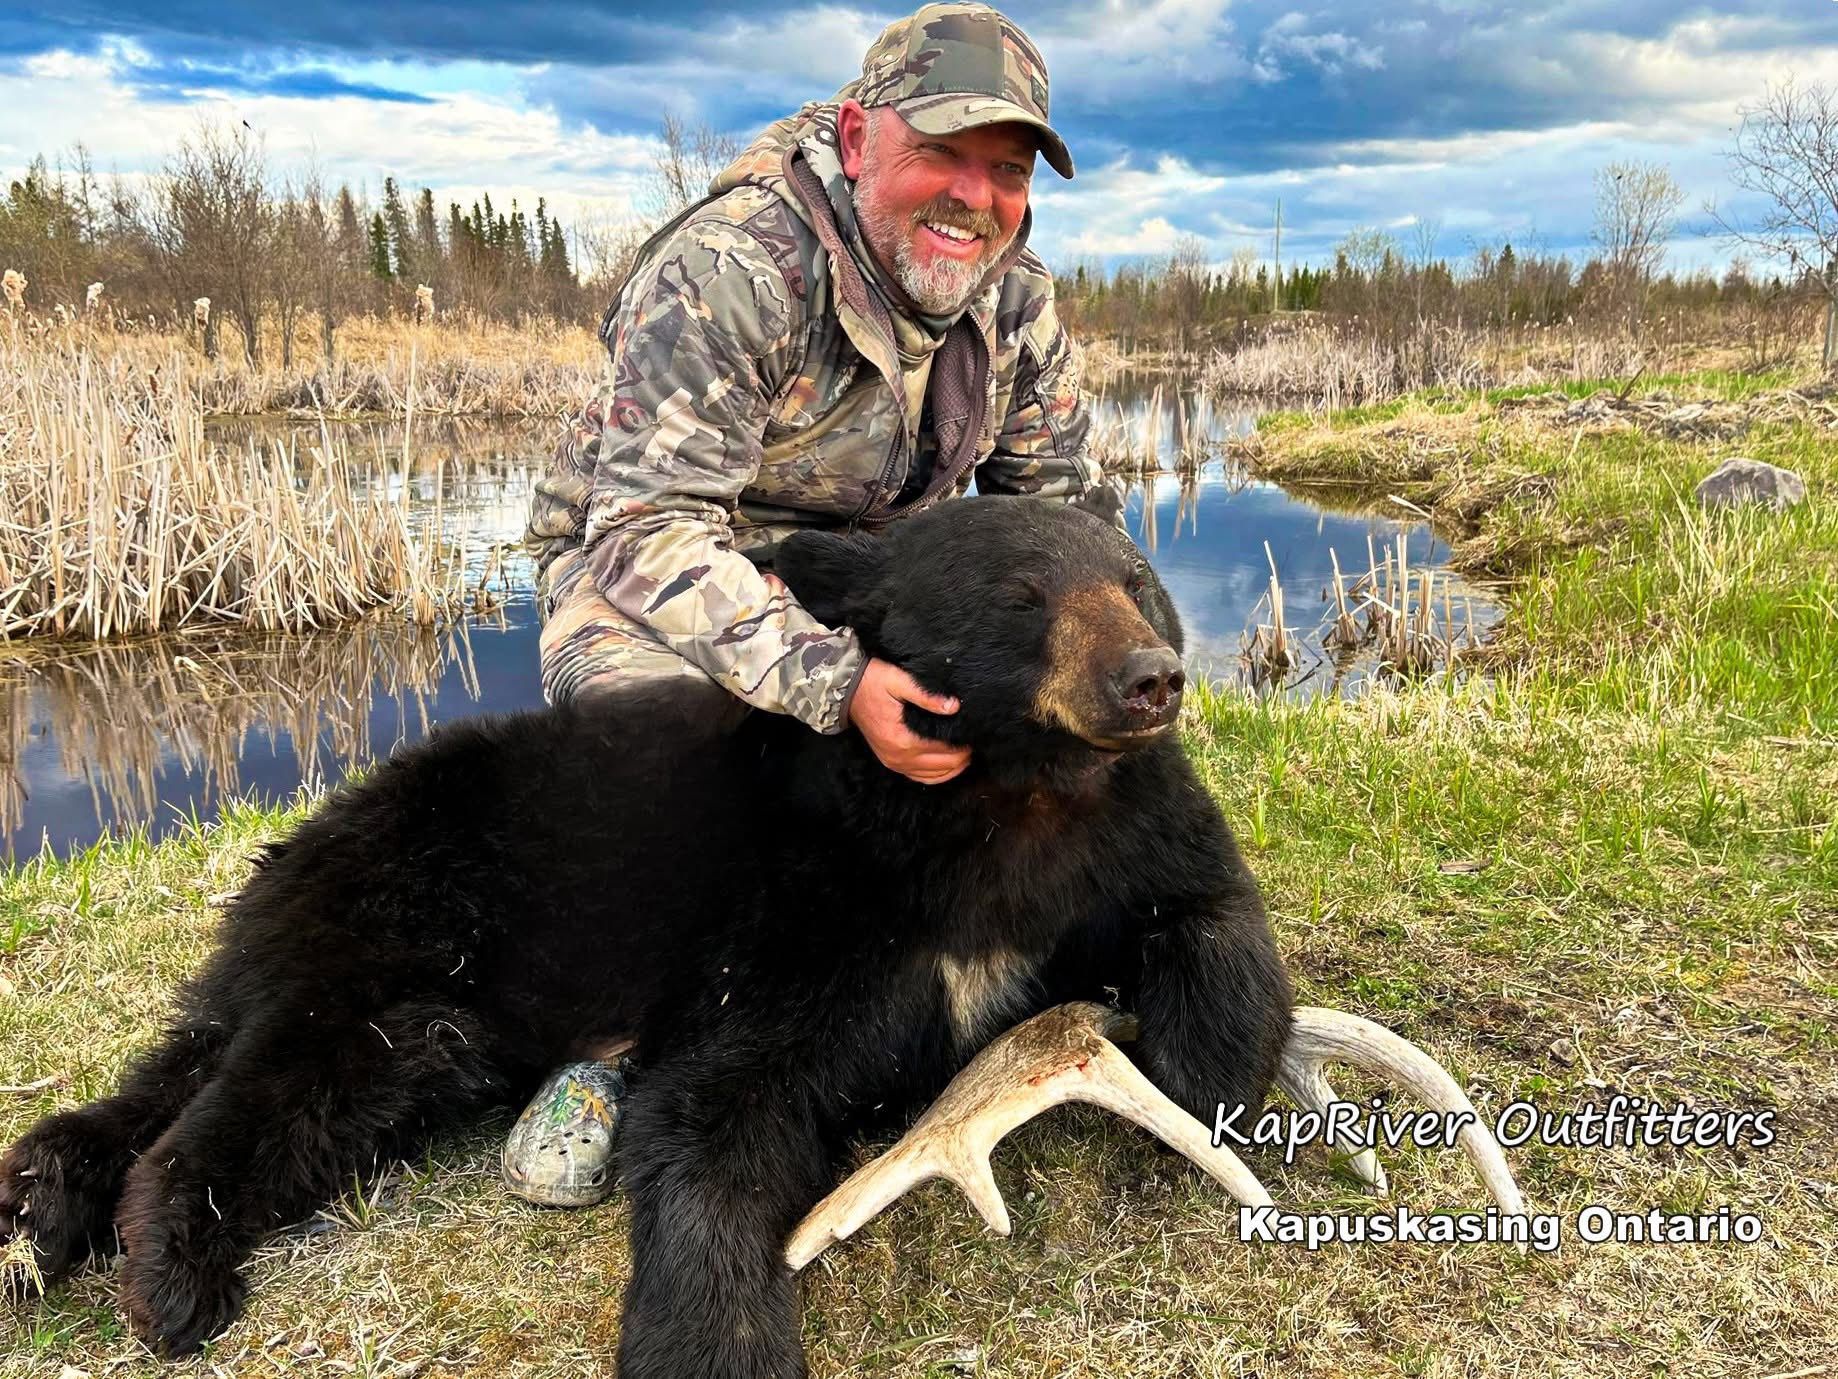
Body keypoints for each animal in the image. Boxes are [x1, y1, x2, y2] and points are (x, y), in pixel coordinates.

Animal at [0, 496, 1293, 1379]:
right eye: (1020, 594)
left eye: (1135, 578)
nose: (1150, 678)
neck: (1009, 798)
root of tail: (309, 836)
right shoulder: (810, 910)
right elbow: (711, 1110)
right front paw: (716, 1343)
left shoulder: (1119, 840)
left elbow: (1216, 918)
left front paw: (1202, 1075)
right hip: (398, 926)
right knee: (272, 1082)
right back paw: (170, 1270)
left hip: (409, 1004)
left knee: (196, 1074)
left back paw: (39, 1206)